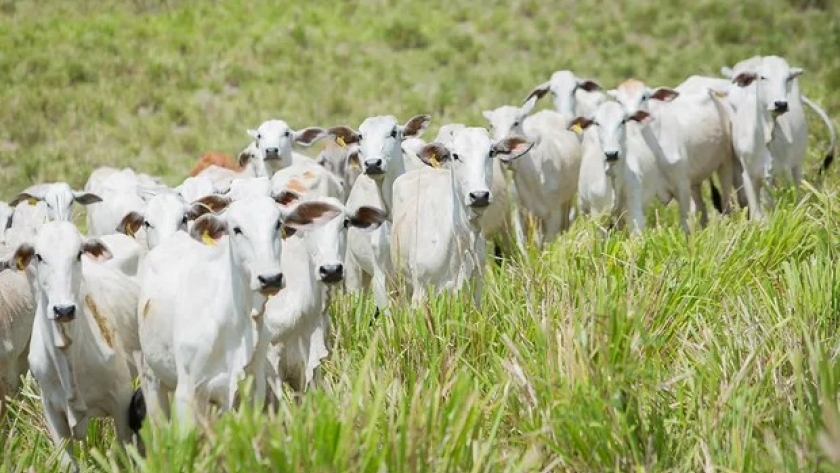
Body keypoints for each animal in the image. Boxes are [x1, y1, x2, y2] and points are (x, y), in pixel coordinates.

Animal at [136, 194, 340, 430]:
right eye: (237, 229)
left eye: (278, 223)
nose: (270, 278)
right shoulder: (187, 394)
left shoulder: (252, 391)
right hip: (152, 380)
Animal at [392, 128, 532, 306]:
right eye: (455, 155)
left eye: (491, 152)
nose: (479, 195)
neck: (461, 239)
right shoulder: (420, 293)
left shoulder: (476, 291)